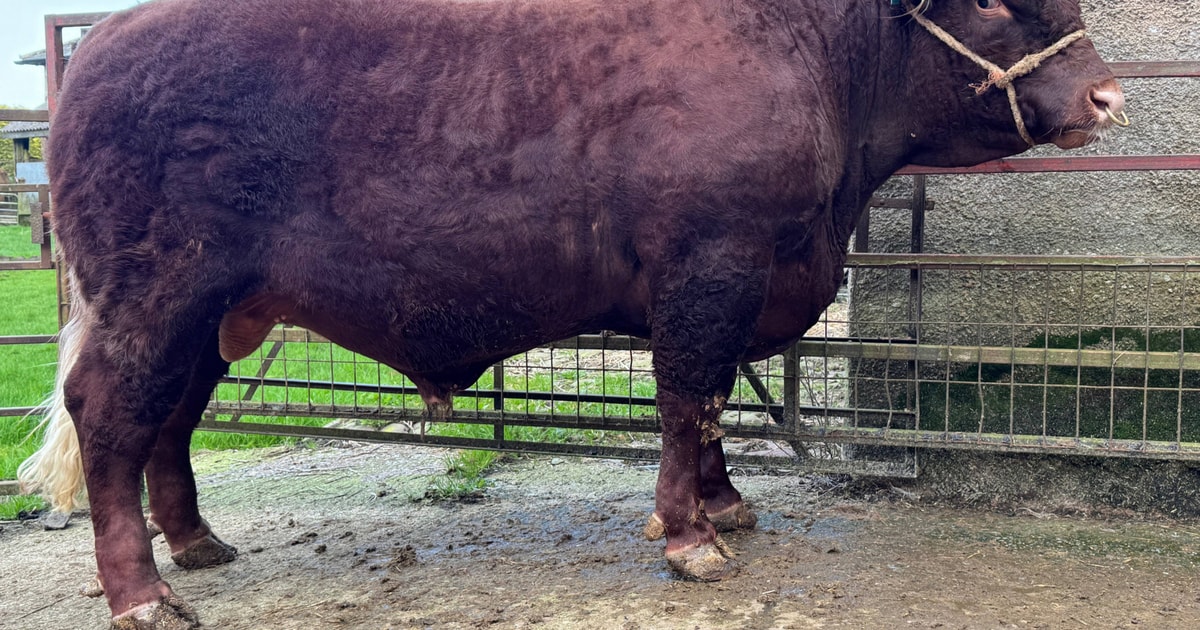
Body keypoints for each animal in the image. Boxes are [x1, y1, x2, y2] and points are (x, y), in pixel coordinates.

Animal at [18, 0, 1124, 627]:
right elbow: (686, 397)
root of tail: (105, 42)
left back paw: (197, 542)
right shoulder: (710, 265)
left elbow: (710, 404)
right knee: (112, 416)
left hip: (213, 310)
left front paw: (724, 502)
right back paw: (144, 595)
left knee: (171, 419)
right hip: (153, 293)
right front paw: (691, 538)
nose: (1109, 98)